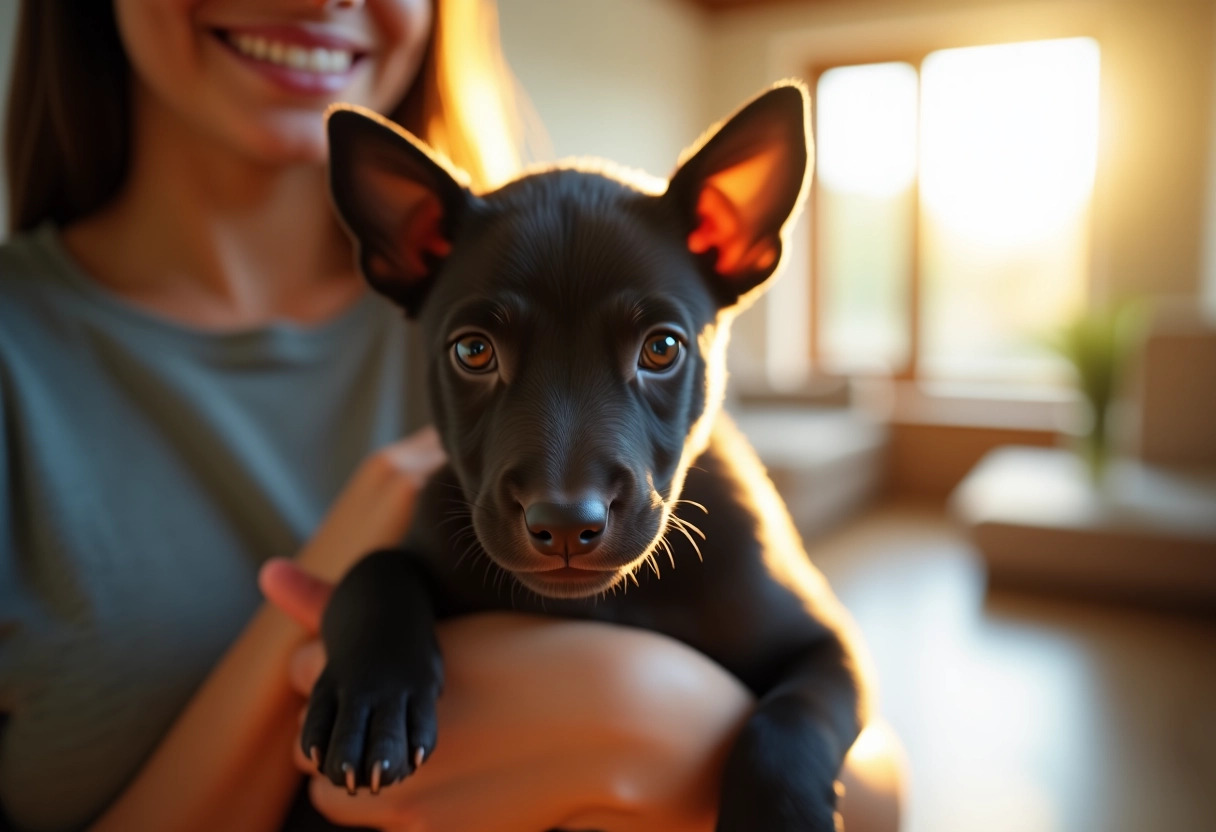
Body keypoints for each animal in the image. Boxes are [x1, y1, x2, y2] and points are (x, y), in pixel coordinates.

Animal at [308, 84, 870, 832]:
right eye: (473, 351)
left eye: (662, 348)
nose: (567, 522)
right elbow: (374, 570)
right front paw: (372, 695)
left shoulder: (826, 641)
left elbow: (794, 715)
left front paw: (778, 813)